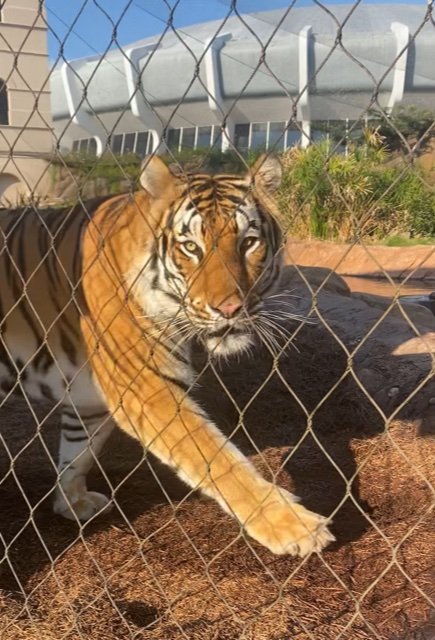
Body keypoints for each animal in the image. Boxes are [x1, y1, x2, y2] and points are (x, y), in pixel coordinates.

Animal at [0, 155, 334, 556]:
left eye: (249, 242)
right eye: (191, 247)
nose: (229, 309)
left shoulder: (90, 400)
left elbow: (77, 452)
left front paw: (71, 502)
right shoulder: (146, 385)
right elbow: (217, 459)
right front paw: (292, 525)